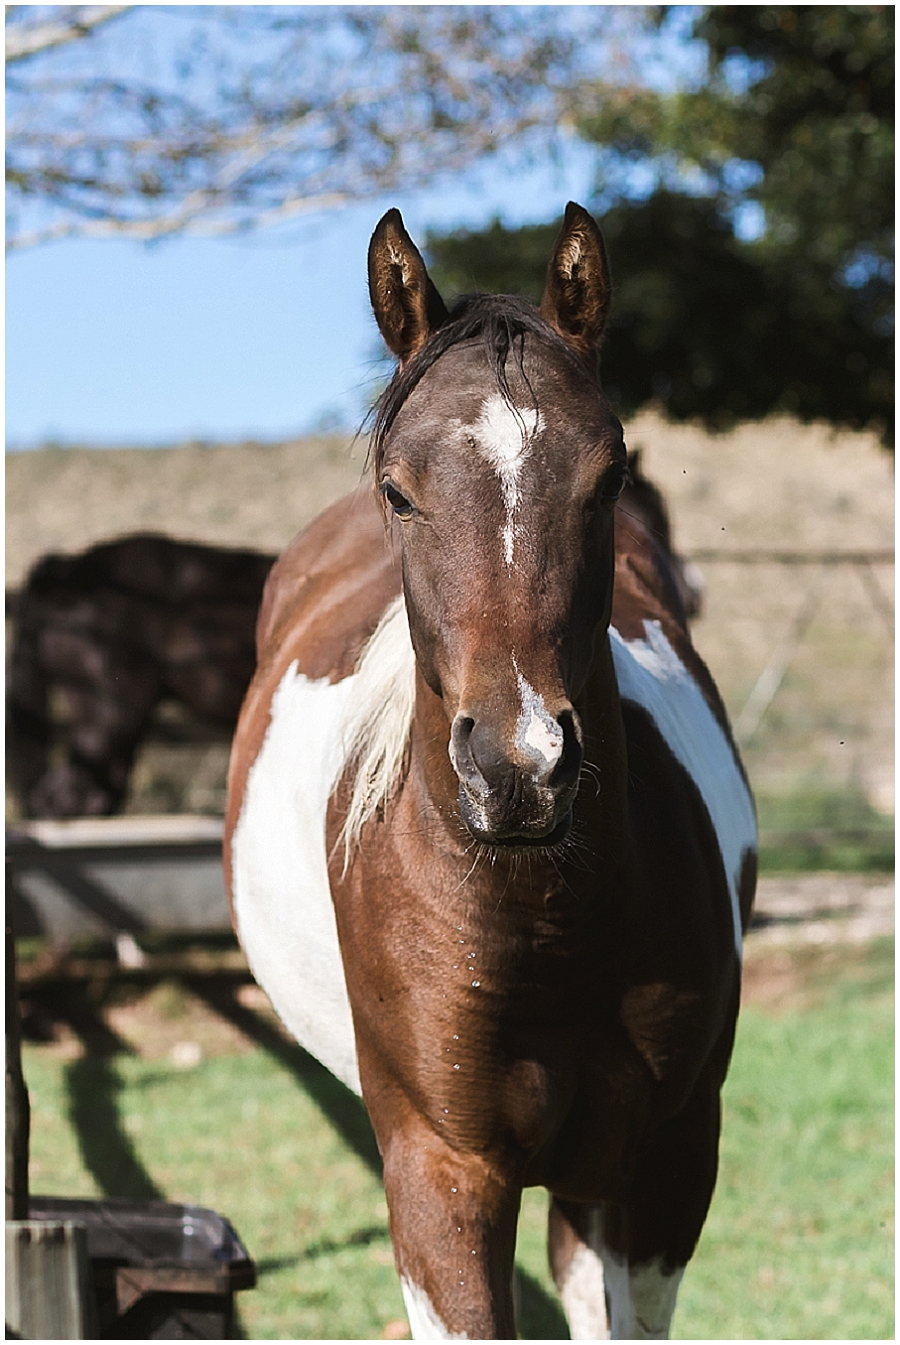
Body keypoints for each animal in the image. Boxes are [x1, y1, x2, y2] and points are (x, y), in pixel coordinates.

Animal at [225, 203, 757, 1340]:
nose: (520, 768)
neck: (542, 922)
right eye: (398, 489)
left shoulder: (662, 1169)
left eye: (607, 478)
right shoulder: (441, 1173)